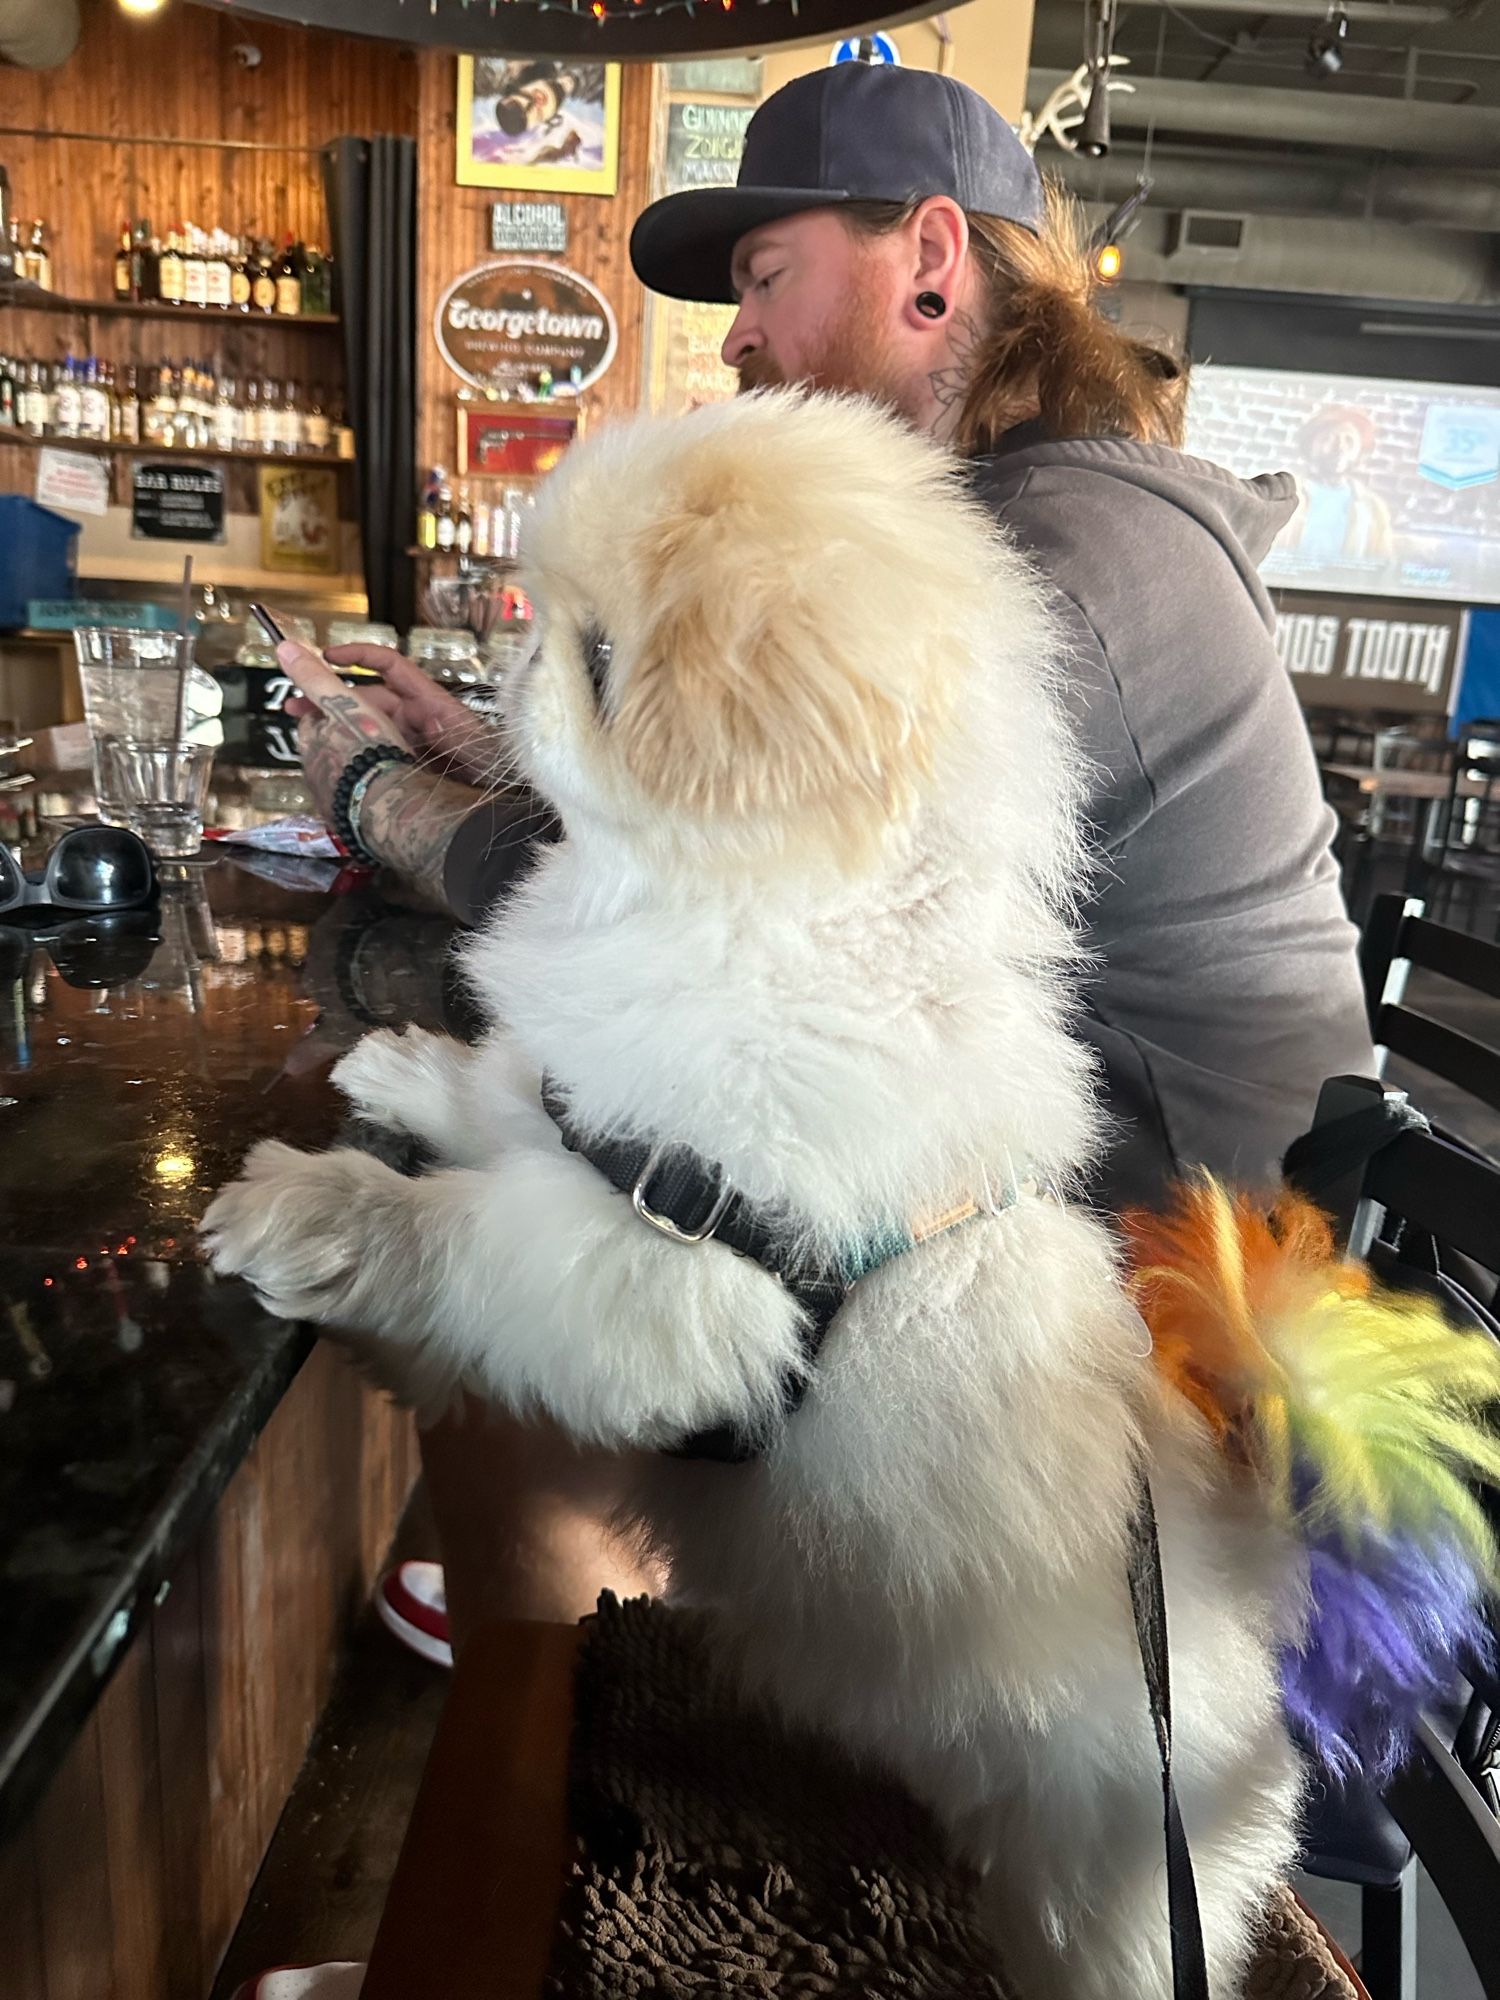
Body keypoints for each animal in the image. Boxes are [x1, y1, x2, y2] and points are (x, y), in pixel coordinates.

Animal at [203, 394, 1304, 2000]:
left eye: (602, 662)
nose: (514, 657)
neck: (744, 921)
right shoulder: (594, 1105)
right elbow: (508, 1099)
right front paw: (403, 1070)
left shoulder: (661, 1278)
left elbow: (455, 1237)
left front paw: (301, 1208)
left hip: (1112, 1900)